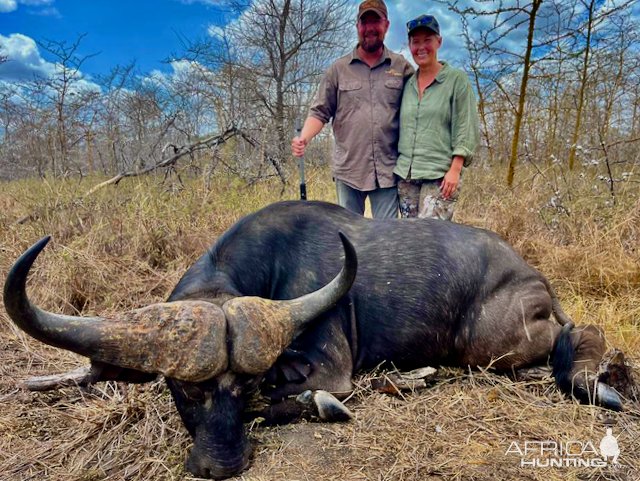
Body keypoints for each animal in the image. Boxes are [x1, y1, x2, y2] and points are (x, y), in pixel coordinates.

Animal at [2, 199, 624, 476]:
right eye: (184, 390)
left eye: (243, 386)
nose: (220, 465)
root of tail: (531, 275)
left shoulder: (331, 368)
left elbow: (303, 395)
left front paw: (317, 403)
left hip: (493, 342)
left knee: (583, 330)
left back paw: (600, 383)